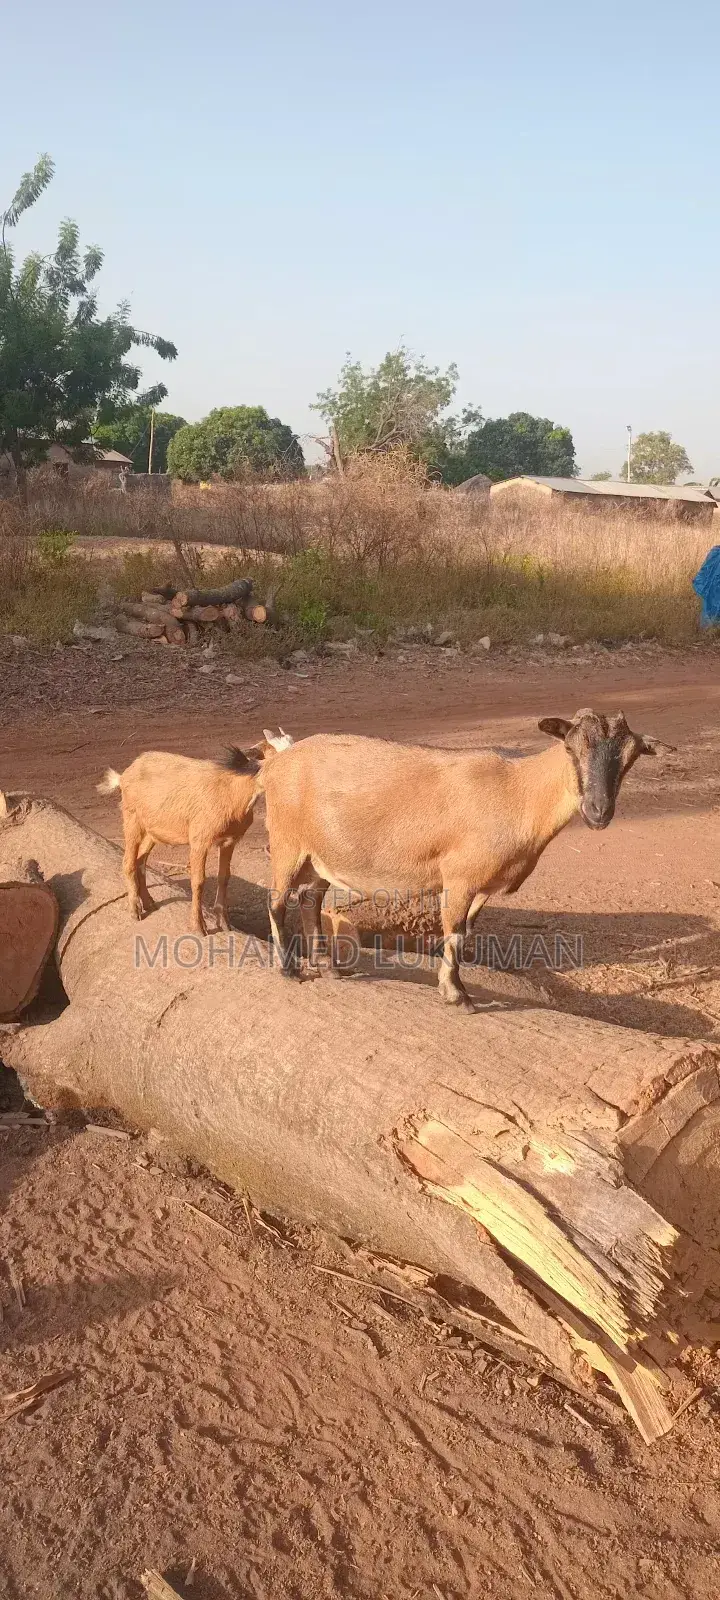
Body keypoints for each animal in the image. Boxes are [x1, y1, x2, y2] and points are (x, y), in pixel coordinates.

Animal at [98, 728, 293, 935]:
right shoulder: (200, 840)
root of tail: (124, 775)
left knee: (141, 860)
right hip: (131, 818)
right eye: (276, 757)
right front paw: (198, 926)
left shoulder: (230, 840)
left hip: (153, 830)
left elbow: (224, 877)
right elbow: (198, 881)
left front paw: (224, 922)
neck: (231, 792)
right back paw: (135, 909)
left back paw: (149, 902)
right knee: (128, 861)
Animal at [261, 710, 674, 1010]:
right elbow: (455, 933)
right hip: (286, 841)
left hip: (321, 855)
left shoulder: (483, 884)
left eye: (630, 759)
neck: (519, 793)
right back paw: (288, 969)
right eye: (572, 749)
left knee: (310, 901)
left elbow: (468, 931)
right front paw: (457, 995)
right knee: (277, 900)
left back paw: (325, 967)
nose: (598, 811)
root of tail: (279, 762)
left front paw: (453, 988)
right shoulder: (458, 876)